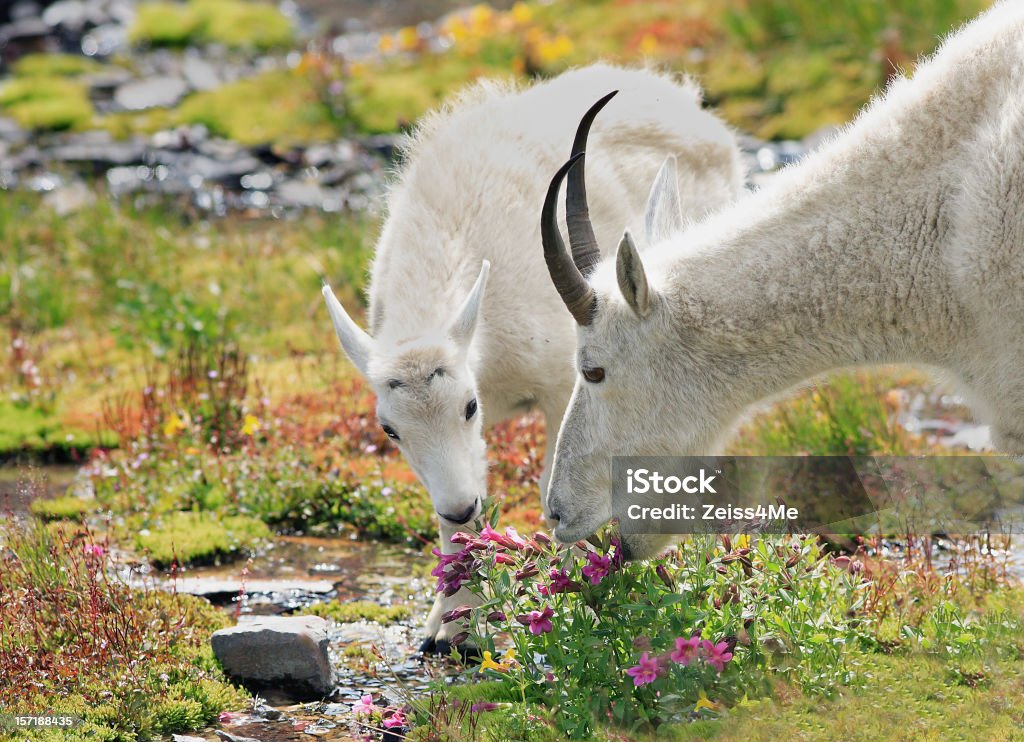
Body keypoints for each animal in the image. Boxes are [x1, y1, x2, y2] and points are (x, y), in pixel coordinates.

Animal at [321, 66, 745, 650]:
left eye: (469, 406)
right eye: (390, 431)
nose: (458, 504)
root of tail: (696, 109)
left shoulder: (561, 388)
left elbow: (556, 489)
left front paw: (572, 604)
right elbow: (460, 511)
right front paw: (453, 628)